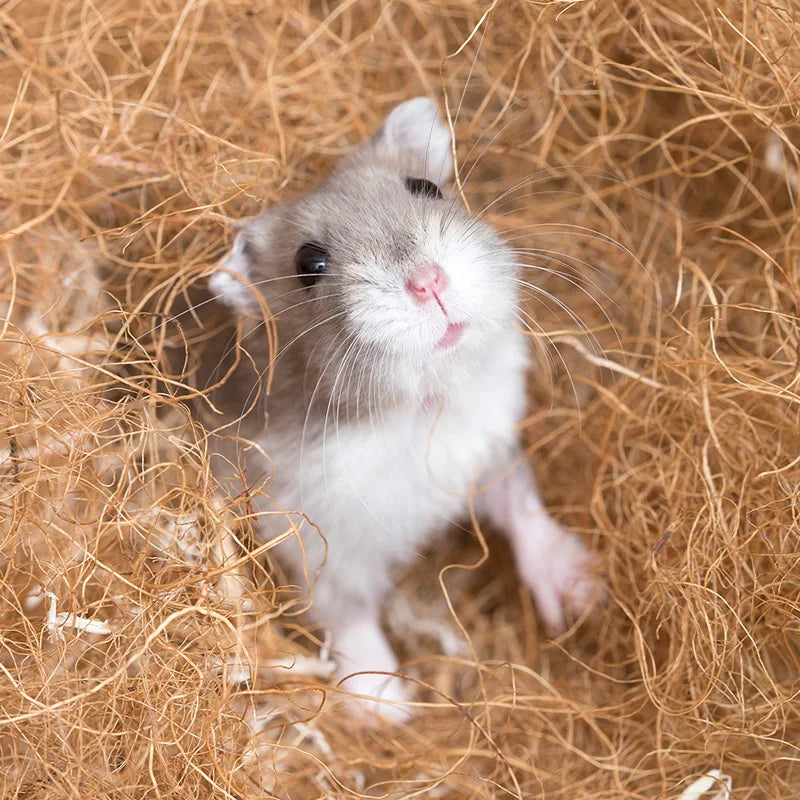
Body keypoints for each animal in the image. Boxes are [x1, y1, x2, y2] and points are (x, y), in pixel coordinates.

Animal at [205, 97, 601, 722]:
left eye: (426, 188)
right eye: (309, 263)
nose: (428, 282)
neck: (420, 407)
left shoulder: (488, 450)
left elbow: (522, 506)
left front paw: (583, 592)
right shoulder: (312, 535)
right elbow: (344, 608)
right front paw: (389, 706)